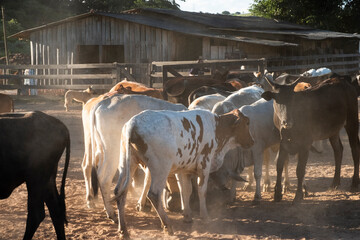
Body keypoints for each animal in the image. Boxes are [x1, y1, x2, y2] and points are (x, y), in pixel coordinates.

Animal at [114, 109, 255, 238]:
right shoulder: (204, 164)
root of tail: (133, 124)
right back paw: (167, 225)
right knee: (154, 194)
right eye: (247, 123)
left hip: (127, 163)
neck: (216, 127)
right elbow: (201, 190)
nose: (252, 141)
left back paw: (123, 230)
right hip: (160, 168)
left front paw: (187, 215)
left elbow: (186, 191)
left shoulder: (184, 170)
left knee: (120, 192)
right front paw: (204, 215)